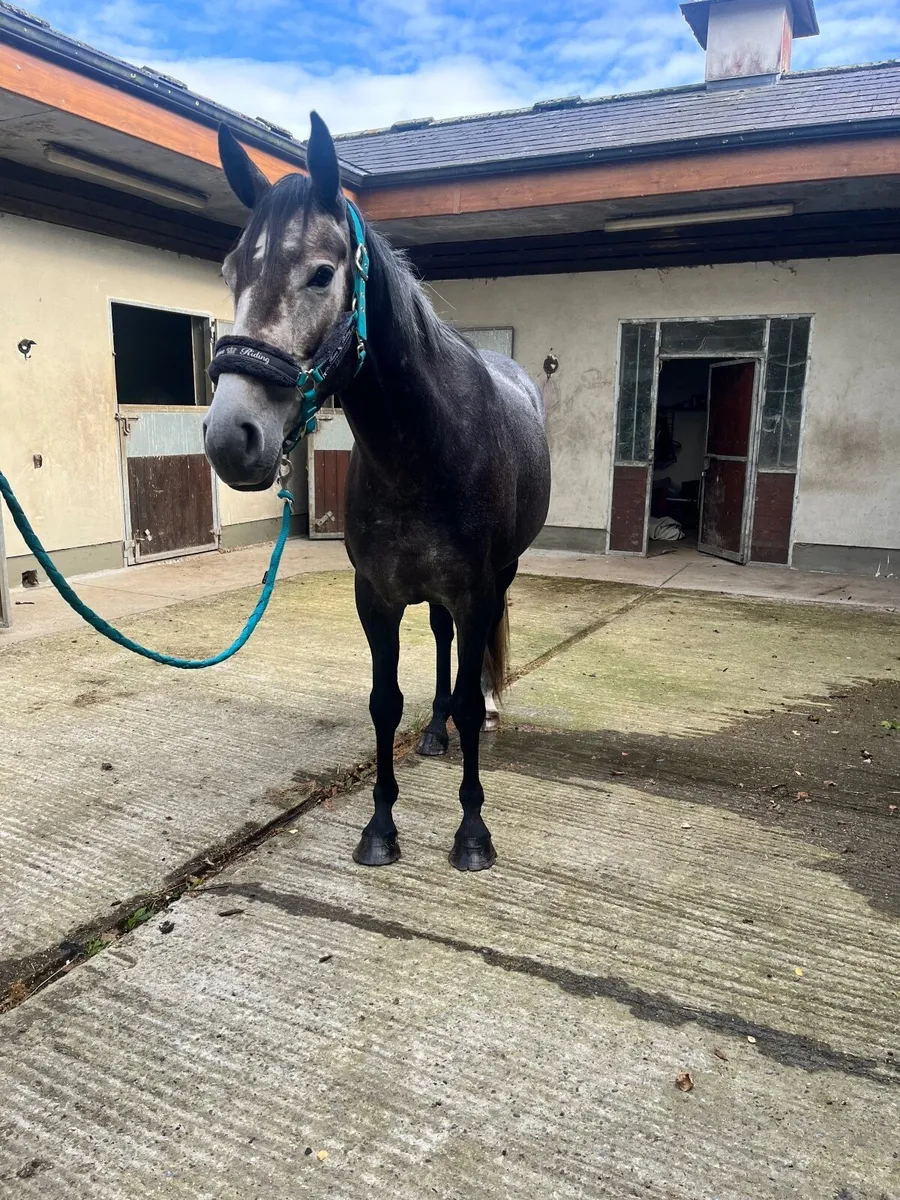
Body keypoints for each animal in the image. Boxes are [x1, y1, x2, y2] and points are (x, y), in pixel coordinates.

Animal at [204, 113, 551, 871]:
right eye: (232, 273)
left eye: (321, 273)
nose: (229, 435)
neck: (424, 453)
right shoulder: (377, 596)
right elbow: (383, 702)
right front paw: (381, 826)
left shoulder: (476, 587)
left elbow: (469, 693)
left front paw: (472, 832)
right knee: (444, 641)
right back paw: (436, 730)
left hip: (500, 575)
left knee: (475, 658)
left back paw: (477, 710)